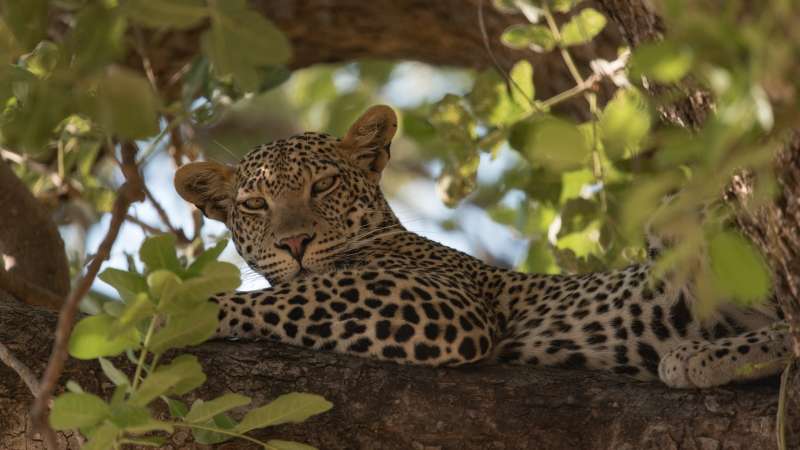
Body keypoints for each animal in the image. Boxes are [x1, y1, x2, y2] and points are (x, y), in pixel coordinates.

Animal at [175, 105, 791, 388]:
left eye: (322, 186)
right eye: (256, 205)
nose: (296, 242)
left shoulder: (448, 299)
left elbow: (285, 299)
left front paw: (177, 309)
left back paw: (697, 357)